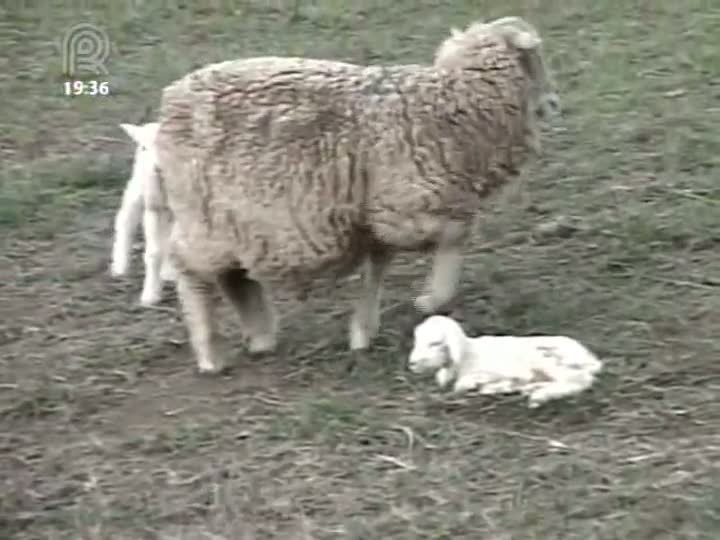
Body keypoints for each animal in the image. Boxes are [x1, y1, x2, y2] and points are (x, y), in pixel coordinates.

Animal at [110, 123, 176, 308]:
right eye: (145, 148)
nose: (156, 169)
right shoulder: (154, 209)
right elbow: (154, 252)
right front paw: (150, 295)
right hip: (140, 187)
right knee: (125, 219)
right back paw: (119, 266)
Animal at [149, 14, 560, 374]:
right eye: (534, 57)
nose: (555, 103)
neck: (448, 107)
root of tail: (169, 102)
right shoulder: (407, 208)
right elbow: (457, 234)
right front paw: (431, 298)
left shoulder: (375, 215)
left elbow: (377, 266)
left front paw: (362, 330)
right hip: (203, 220)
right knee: (190, 271)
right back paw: (210, 353)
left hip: (235, 225)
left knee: (234, 277)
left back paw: (260, 334)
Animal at [404, 314, 600, 408]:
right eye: (417, 340)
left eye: (435, 343)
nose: (412, 363)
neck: (468, 355)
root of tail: (591, 358)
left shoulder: (510, 370)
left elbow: (464, 384)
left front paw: (485, 385)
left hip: (549, 358)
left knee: (578, 381)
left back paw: (539, 395)